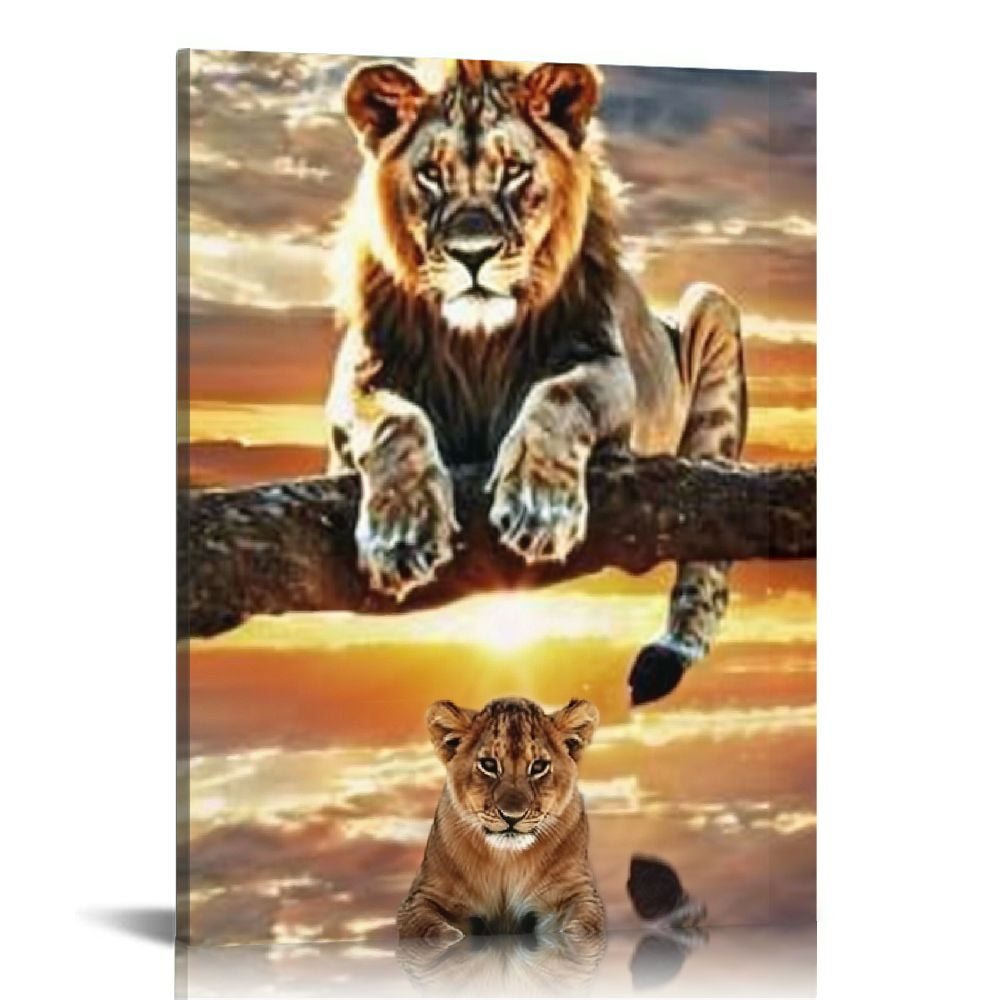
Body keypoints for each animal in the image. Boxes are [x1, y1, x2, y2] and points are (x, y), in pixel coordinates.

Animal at [327, 59, 748, 704]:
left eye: (515, 169)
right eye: (430, 174)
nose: (472, 253)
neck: (477, 341)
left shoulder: (605, 365)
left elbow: (557, 396)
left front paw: (539, 508)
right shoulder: (356, 387)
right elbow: (396, 422)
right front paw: (402, 536)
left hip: (713, 308)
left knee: (707, 554)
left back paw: (673, 647)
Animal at [397, 697, 605, 942]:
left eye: (538, 767)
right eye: (488, 765)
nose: (512, 817)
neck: (506, 860)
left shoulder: (576, 890)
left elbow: (584, 926)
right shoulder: (423, 895)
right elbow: (429, 928)